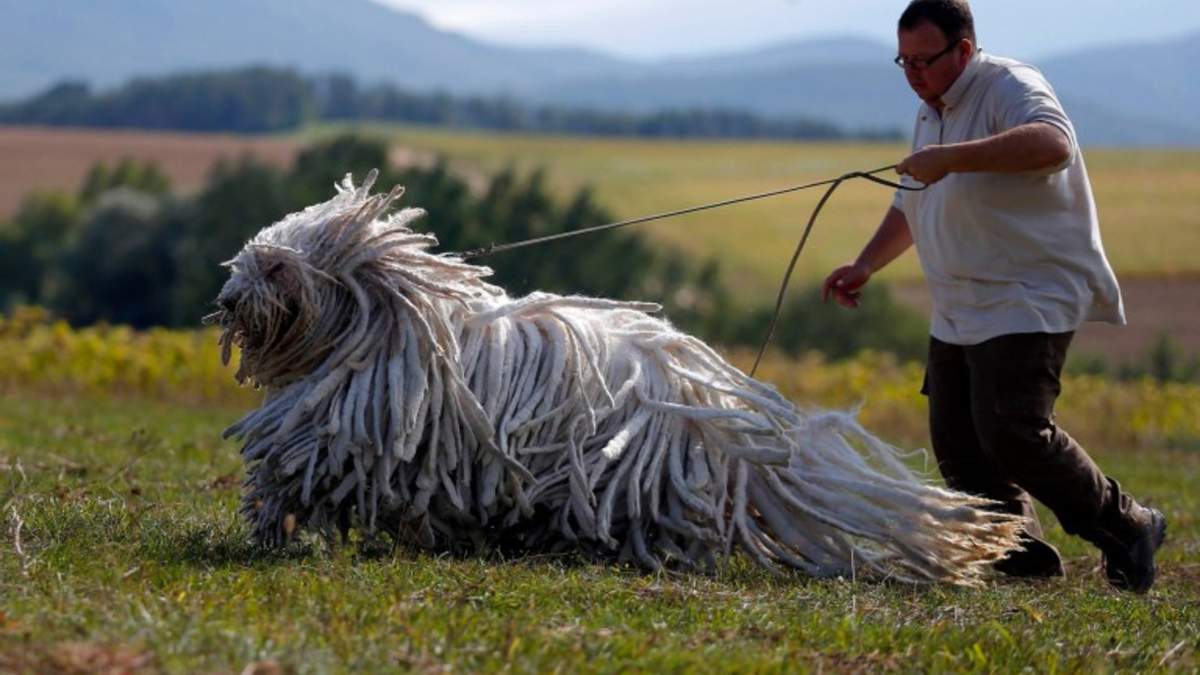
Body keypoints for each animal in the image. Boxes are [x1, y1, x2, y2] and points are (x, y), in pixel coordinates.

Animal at [208, 169, 1022, 583]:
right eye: (247, 259)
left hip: (625, 468)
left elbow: (294, 467)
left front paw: (270, 523)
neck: (383, 324)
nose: (229, 298)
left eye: (276, 267)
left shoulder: (343, 429)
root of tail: (715, 400)